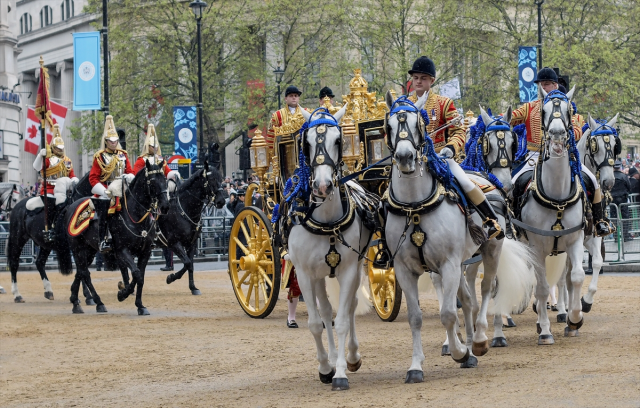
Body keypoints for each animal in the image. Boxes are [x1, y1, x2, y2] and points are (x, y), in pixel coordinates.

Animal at [64, 161, 170, 314]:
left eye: (165, 180)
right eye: (153, 182)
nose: (165, 206)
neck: (135, 216)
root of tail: (71, 206)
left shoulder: (145, 252)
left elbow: (140, 277)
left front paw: (140, 305)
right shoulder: (122, 250)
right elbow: (136, 274)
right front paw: (123, 294)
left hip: (89, 250)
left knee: (80, 271)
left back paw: (75, 302)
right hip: (77, 248)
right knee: (85, 273)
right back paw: (98, 302)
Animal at [161, 162, 226, 294]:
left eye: (221, 179)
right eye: (212, 179)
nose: (221, 201)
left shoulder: (191, 243)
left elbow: (190, 264)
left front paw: (193, 287)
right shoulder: (174, 243)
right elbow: (187, 263)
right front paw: (171, 277)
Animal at [288, 104, 372, 388]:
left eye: (338, 141)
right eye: (306, 143)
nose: (323, 186)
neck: (325, 220)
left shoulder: (348, 270)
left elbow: (344, 320)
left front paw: (342, 372)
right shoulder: (304, 273)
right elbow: (316, 323)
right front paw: (326, 368)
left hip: (356, 267)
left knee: (350, 307)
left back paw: (350, 357)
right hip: (317, 276)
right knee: (324, 313)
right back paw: (332, 359)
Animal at [516, 87, 584, 342]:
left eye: (568, 110)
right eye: (544, 111)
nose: (556, 135)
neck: (557, 198)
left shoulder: (575, 240)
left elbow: (576, 277)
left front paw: (574, 320)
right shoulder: (536, 247)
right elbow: (543, 286)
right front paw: (545, 331)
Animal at [556, 112, 620, 318]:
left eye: (615, 145)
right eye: (595, 145)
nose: (609, 181)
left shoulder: (592, 236)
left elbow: (597, 262)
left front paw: (585, 302)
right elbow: (563, 275)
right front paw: (564, 308)